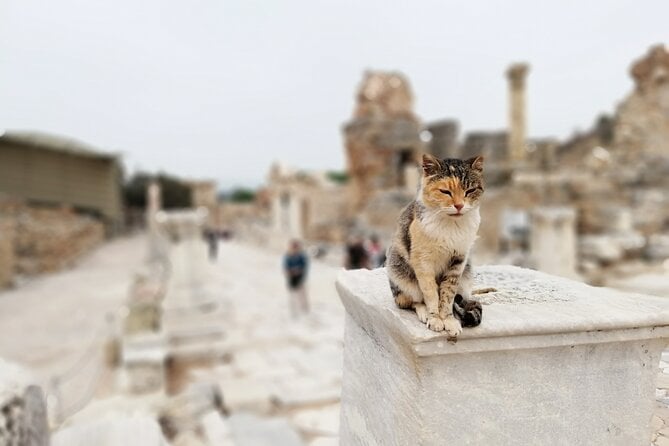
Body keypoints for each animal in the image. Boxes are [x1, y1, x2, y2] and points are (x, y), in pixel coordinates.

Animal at [380, 155, 486, 336]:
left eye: (470, 190)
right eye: (445, 191)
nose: (459, 205)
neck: (451, 226)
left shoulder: (458, 261)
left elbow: (448, 294)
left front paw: (449, 320)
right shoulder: (423, 262)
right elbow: (430, 293)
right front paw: (435, 319)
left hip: (466, 275)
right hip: (400, 273)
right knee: (412, 301)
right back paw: (423, 313)